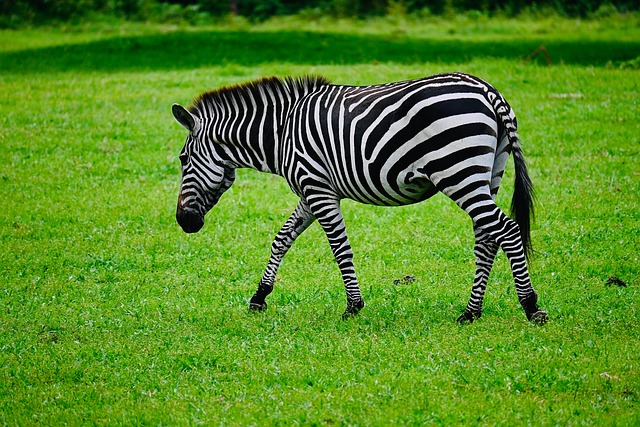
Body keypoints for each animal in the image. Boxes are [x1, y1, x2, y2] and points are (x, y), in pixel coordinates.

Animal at [172, 73, 548, 324]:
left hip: (458, 172)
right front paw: (259, 297)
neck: (280, 133)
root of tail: (488, 90)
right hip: (487, 173)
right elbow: (282, 239)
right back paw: (471, 312)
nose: (183, 222)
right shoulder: (311, 191)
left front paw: (353, 306)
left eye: (182, 159)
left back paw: (530, 306)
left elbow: (340, 248)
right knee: (487, 238)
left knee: (508, 231)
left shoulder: (318, 190)